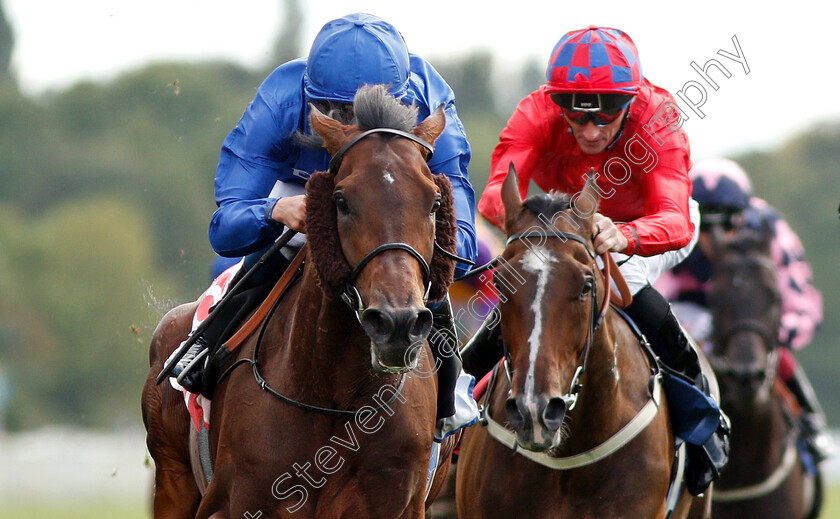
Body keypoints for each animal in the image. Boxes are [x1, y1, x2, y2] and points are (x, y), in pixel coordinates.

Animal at [141, 86, 462, 519]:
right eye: (341, 200)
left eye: (434, 203)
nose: (397, 323)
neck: (338, 399)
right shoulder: (238, 503)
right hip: (172, 478)